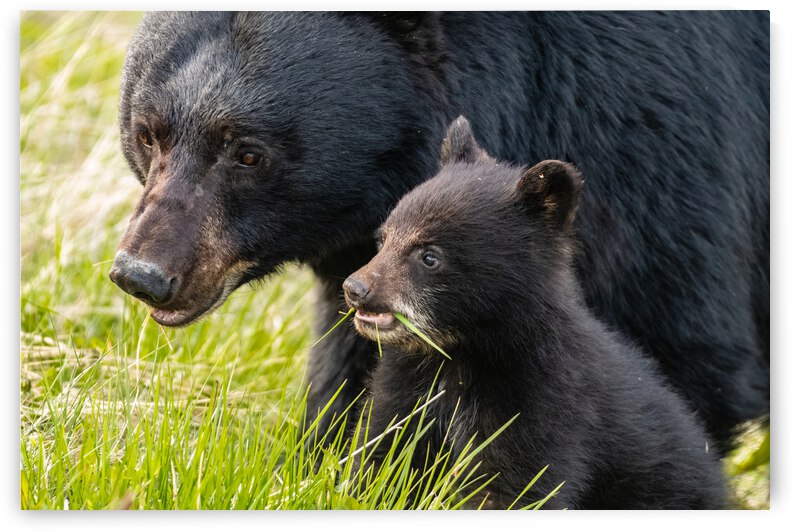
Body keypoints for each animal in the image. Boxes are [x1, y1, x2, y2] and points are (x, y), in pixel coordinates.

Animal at [110, 12, 769, 450]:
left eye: (247, 153)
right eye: (148, 134)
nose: (143, 275)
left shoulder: (654, 153)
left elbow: (676, 357)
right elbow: (361, 366)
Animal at [342, 117, 726, 510]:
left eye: (429, 255)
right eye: (383, 237)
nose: (356, 288)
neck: (462, 353)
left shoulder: (542, 399)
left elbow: (514, 484)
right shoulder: (407, 385)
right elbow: (382, 453)